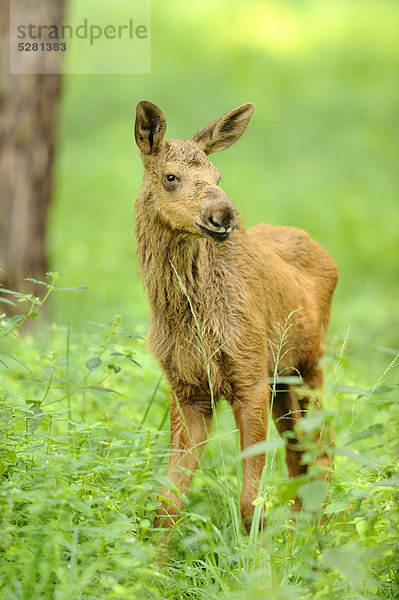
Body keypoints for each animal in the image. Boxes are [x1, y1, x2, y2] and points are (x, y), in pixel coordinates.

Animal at [135, 102, 340, 536]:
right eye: (170, 176)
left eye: (218, 176)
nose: (223, 214)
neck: (190, 316)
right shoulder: (187, 388)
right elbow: (168, 502)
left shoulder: (249, 376)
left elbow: (250, 502)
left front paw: (259, 556)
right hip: (283, 379)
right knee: (299, 458)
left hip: (310, 365)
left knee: (323, 456)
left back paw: (320, 543)